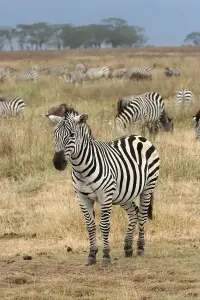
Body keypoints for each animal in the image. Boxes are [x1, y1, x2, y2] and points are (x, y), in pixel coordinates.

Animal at [48, 106, 161, 266]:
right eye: (55, 135)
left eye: (72, 135)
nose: (58, 163)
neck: (81, 169)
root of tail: (139, 137)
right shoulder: (82, 198)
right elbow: (90, 226)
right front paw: (91, 255)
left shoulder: (105, 196)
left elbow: (104, 225)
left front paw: (106, 256)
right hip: (124, 194)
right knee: (134, 212)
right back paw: (128, 247)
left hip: (148, 186)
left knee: (142, 215)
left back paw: (140, 248)